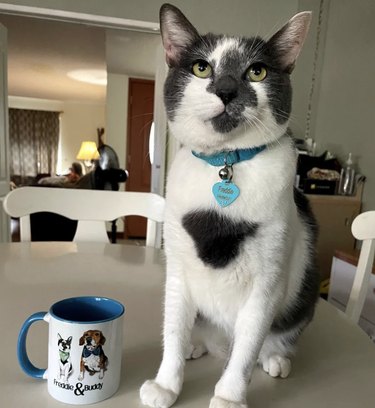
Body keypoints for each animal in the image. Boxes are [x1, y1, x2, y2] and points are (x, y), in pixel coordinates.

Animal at [141, 3, 320, 408]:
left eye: (257, 71)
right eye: (201, 67)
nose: (226, 90)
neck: (225, 165)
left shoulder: (267, 284)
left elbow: (247, 349)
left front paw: (229, 397)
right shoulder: (177, 270)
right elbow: (172, 330)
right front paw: (167, 384)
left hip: (303, 297)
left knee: (268, 340)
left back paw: (275, 358)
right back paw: (195, 345)